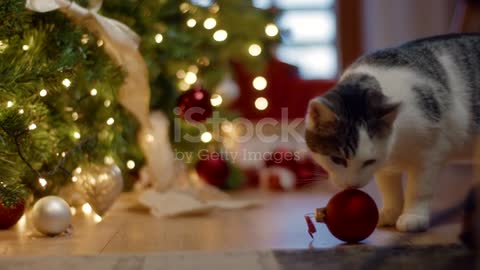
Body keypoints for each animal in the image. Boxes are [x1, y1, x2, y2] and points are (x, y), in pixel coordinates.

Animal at [304, 33, 480, 232]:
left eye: (368, 161)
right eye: (337, 159)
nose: (353, 185)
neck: (396, 145)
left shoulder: (431, 154)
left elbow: (418, 189)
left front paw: (413, 216)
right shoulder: (385, 167)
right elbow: (389, 189)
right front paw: (390, 212)